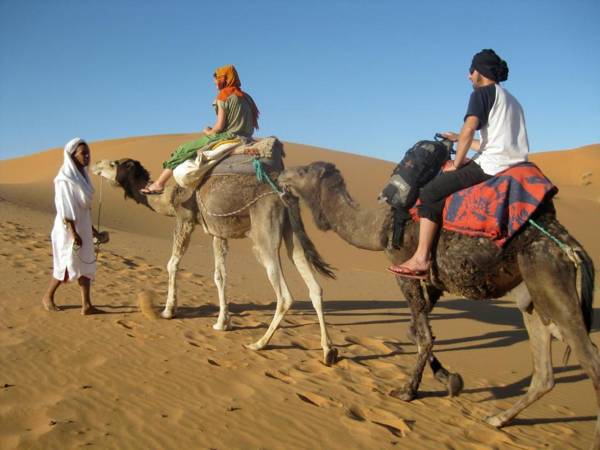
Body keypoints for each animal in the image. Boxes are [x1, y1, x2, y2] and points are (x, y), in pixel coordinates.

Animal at [91, 158, 340, 366]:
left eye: (113, 164)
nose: (95, 165)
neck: (170, 196)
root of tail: (286, 194)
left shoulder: (185, 219)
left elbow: (172, 263)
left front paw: (169, 310)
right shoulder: (217, 233)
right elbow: (220, 275)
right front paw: (222, 322)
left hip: (264, 235)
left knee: (285, 295)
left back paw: (259, 343)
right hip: (292, 232)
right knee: (314, 287)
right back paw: (329, 351)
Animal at [278, 161, 600, 446]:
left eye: (304, 171)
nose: (282, 175)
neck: (378, 227)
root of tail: (571, 246)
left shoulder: (403, 269)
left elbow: (422, 336)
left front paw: (408, 390)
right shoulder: (433, 284)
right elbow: (416, 331)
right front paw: (450, 380)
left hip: (551, 278)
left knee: (590, 358)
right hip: (533, 295)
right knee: (544, 372)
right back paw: (498, 419)